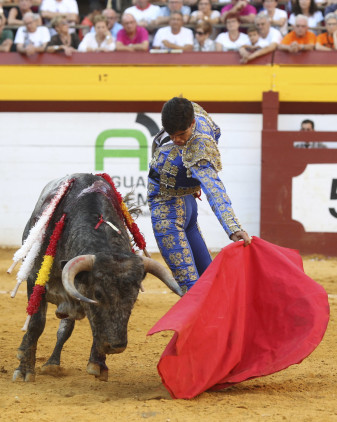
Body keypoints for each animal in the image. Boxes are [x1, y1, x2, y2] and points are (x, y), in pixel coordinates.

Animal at [13, 174, 182, 382]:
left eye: (133, 298)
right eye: (98, 294)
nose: (116, 346)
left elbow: (90, 326)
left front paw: (97, 363)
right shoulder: (34, 280)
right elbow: (36, 324)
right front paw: (24, 370)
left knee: (65, 329)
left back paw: (52, 364)